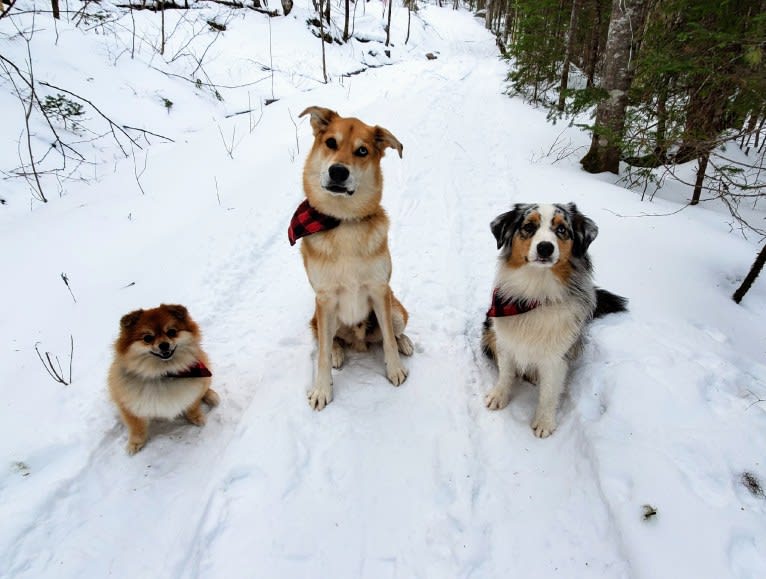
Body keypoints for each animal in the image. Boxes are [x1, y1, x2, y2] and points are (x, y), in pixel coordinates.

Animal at [107, 306, 219, 456]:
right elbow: (137, 427)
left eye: (171, 332)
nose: (164, 345)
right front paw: (135, 443)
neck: (164, 373)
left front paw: (196, 417)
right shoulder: (128, 405)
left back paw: (211, 396)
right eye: (147, 338)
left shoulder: (192, 392)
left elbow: (192, 406)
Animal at [292, 105, 414, 412]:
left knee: (392, 333)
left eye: (362, 151)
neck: (343, 222)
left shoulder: (380, 290)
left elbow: (388, 341)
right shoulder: (324, 298)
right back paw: (337, 352)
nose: (338, 171)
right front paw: (322, 389)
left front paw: (395, 369)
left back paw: (405, 342)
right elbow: (322, 353)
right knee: (330, 341)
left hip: (396, 311)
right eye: (330, 143)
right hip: (322, 318)